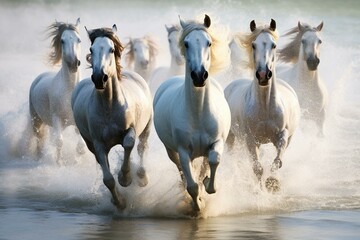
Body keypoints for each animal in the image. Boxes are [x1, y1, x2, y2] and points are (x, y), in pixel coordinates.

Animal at [28, 17, 84, 162]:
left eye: (79, 40)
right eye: (62, 40)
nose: (73, 64)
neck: (69, 91)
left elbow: (81, 146)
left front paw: (76, 161)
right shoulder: (57, 118)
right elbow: (59, 142)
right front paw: (59, 163)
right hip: (36, 121)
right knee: (39, 139)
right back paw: (39, 157)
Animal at [71, 25, 152, 210]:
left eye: (112, 49)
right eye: (91, 49)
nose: (99, 78)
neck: (109, 106)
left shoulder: (131, 130)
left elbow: (128, 144)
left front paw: (125, 178)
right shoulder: (98, 144)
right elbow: (108, 179)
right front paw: (120, 202)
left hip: (147, 128)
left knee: (141, 148)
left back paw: (141, 177)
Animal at [153, 15, 231, 214]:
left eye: (209, 43)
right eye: (186, 43)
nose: (199, 76)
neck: (198, 112)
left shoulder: (217, 142)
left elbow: (214, 160)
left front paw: (208, 185)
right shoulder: (182, 151)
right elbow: (192, 186)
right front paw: (198, 207)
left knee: (204, 164)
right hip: (171, 151)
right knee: (181, 171)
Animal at [225, 18, 300, 191]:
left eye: (274, 45)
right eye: (253, 45)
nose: (263, 75)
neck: (265, 108)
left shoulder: (282, 135)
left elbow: (277, 161)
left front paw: (272, 183)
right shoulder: (251, 139)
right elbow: (257, 168)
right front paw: (260, 190)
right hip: (231, 138)